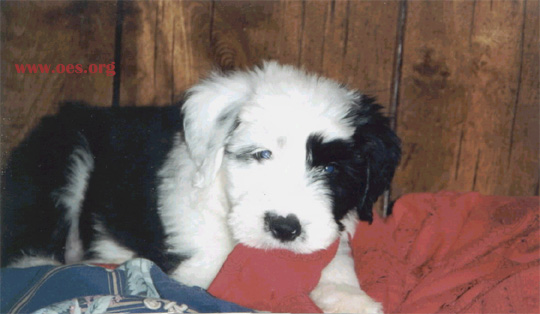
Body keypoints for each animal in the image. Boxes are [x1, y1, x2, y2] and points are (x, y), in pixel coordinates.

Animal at [1, 62, 400, 314]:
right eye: (262, 154)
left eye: (331, 169)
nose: (285, 227)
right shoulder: (196, 270)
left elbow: (334, 261)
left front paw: (350, 298)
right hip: (62, 159)